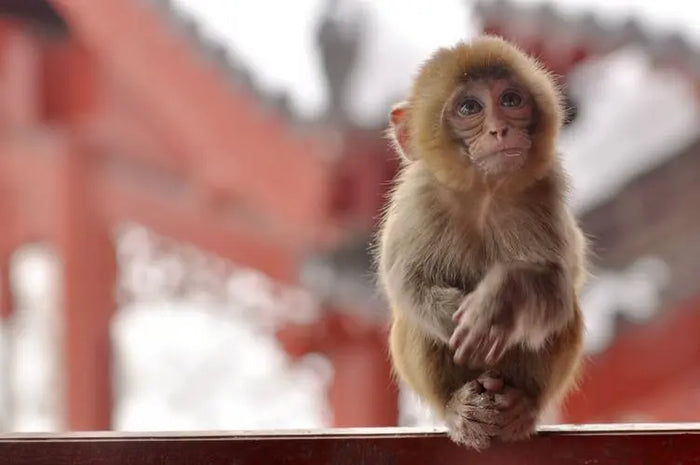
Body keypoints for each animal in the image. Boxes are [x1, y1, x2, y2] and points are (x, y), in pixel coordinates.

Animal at [376, 36, 588, 450]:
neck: (483, 195)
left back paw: (522, 406)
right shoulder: (417, 201)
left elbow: (557, 290)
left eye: (510, 100)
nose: (499, 130)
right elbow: (407, 284)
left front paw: (498, 304)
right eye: (470, 108)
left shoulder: (544, 190)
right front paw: (452, 314)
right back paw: (460, 409)